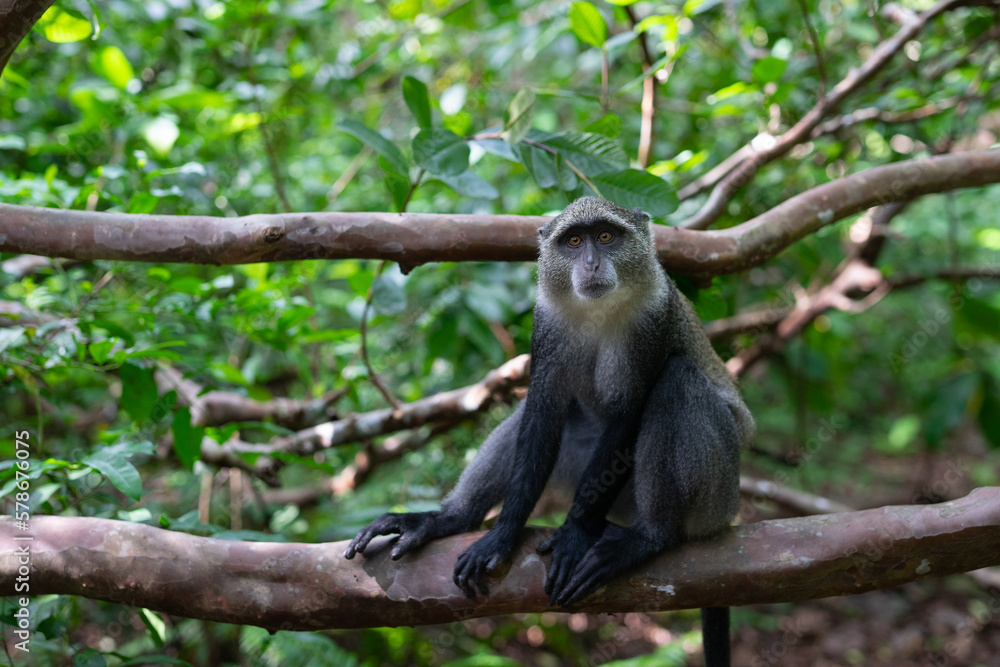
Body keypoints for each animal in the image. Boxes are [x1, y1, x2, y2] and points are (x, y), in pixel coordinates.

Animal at [344, 196, 753, 667]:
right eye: (574, 241)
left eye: (606, 236)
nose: (591, 263)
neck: (598, 310)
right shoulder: (546, 324)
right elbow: (540, 413)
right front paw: (500, 535)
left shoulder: (655, 319)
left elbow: (627, 415)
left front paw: (574, 536)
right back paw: (448, 518)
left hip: (715, 491)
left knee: (677, 378)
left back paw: (650, 537)